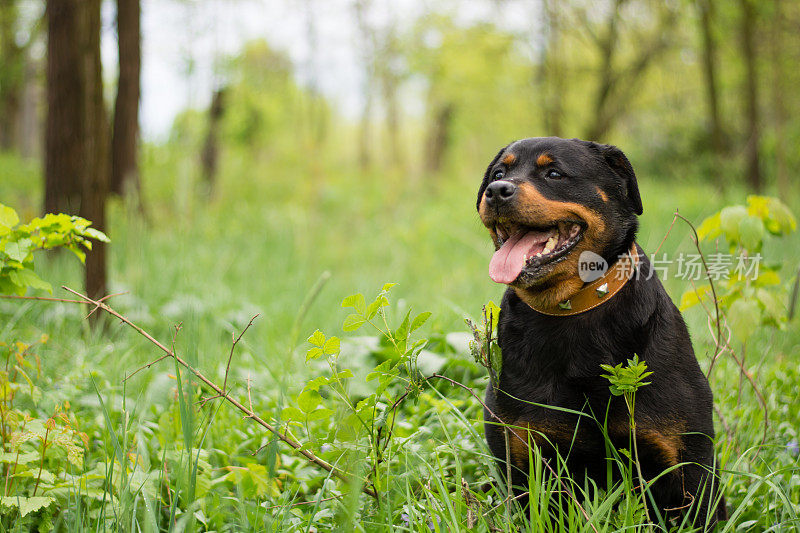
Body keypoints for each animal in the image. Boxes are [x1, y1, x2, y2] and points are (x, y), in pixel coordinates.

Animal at [478, 137, 728, 528]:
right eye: (498, 173)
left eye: (554, 173)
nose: (497, 190)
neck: (572, 307)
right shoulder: (522, 455)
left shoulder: (690, 460)